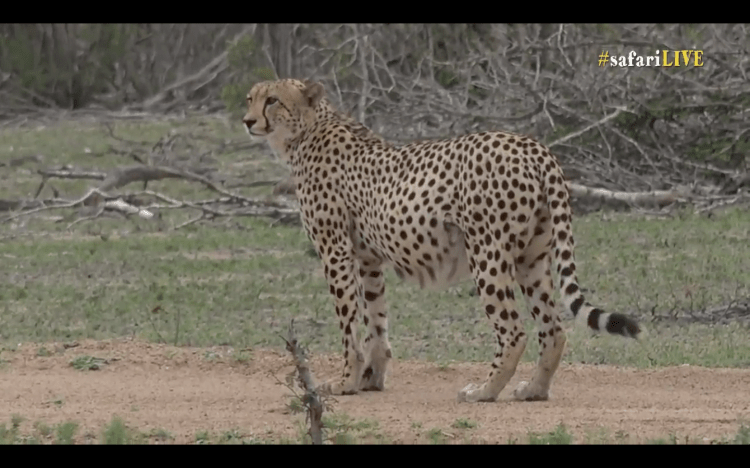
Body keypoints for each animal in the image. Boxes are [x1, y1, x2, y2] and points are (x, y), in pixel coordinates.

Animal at [242, 78, 641, 403]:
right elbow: (375, 320)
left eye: (272, 100)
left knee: (513, 331)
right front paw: (371, 379)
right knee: (553, 329)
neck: (306, 131)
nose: (247, 121)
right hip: (533, 257)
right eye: (250, 98)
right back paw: (533, 390)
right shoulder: (368, 259)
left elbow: (349, 325)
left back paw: (484, 391)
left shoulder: (335, 252)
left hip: (487, 254)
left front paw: (345, 382)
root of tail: (530, 144)